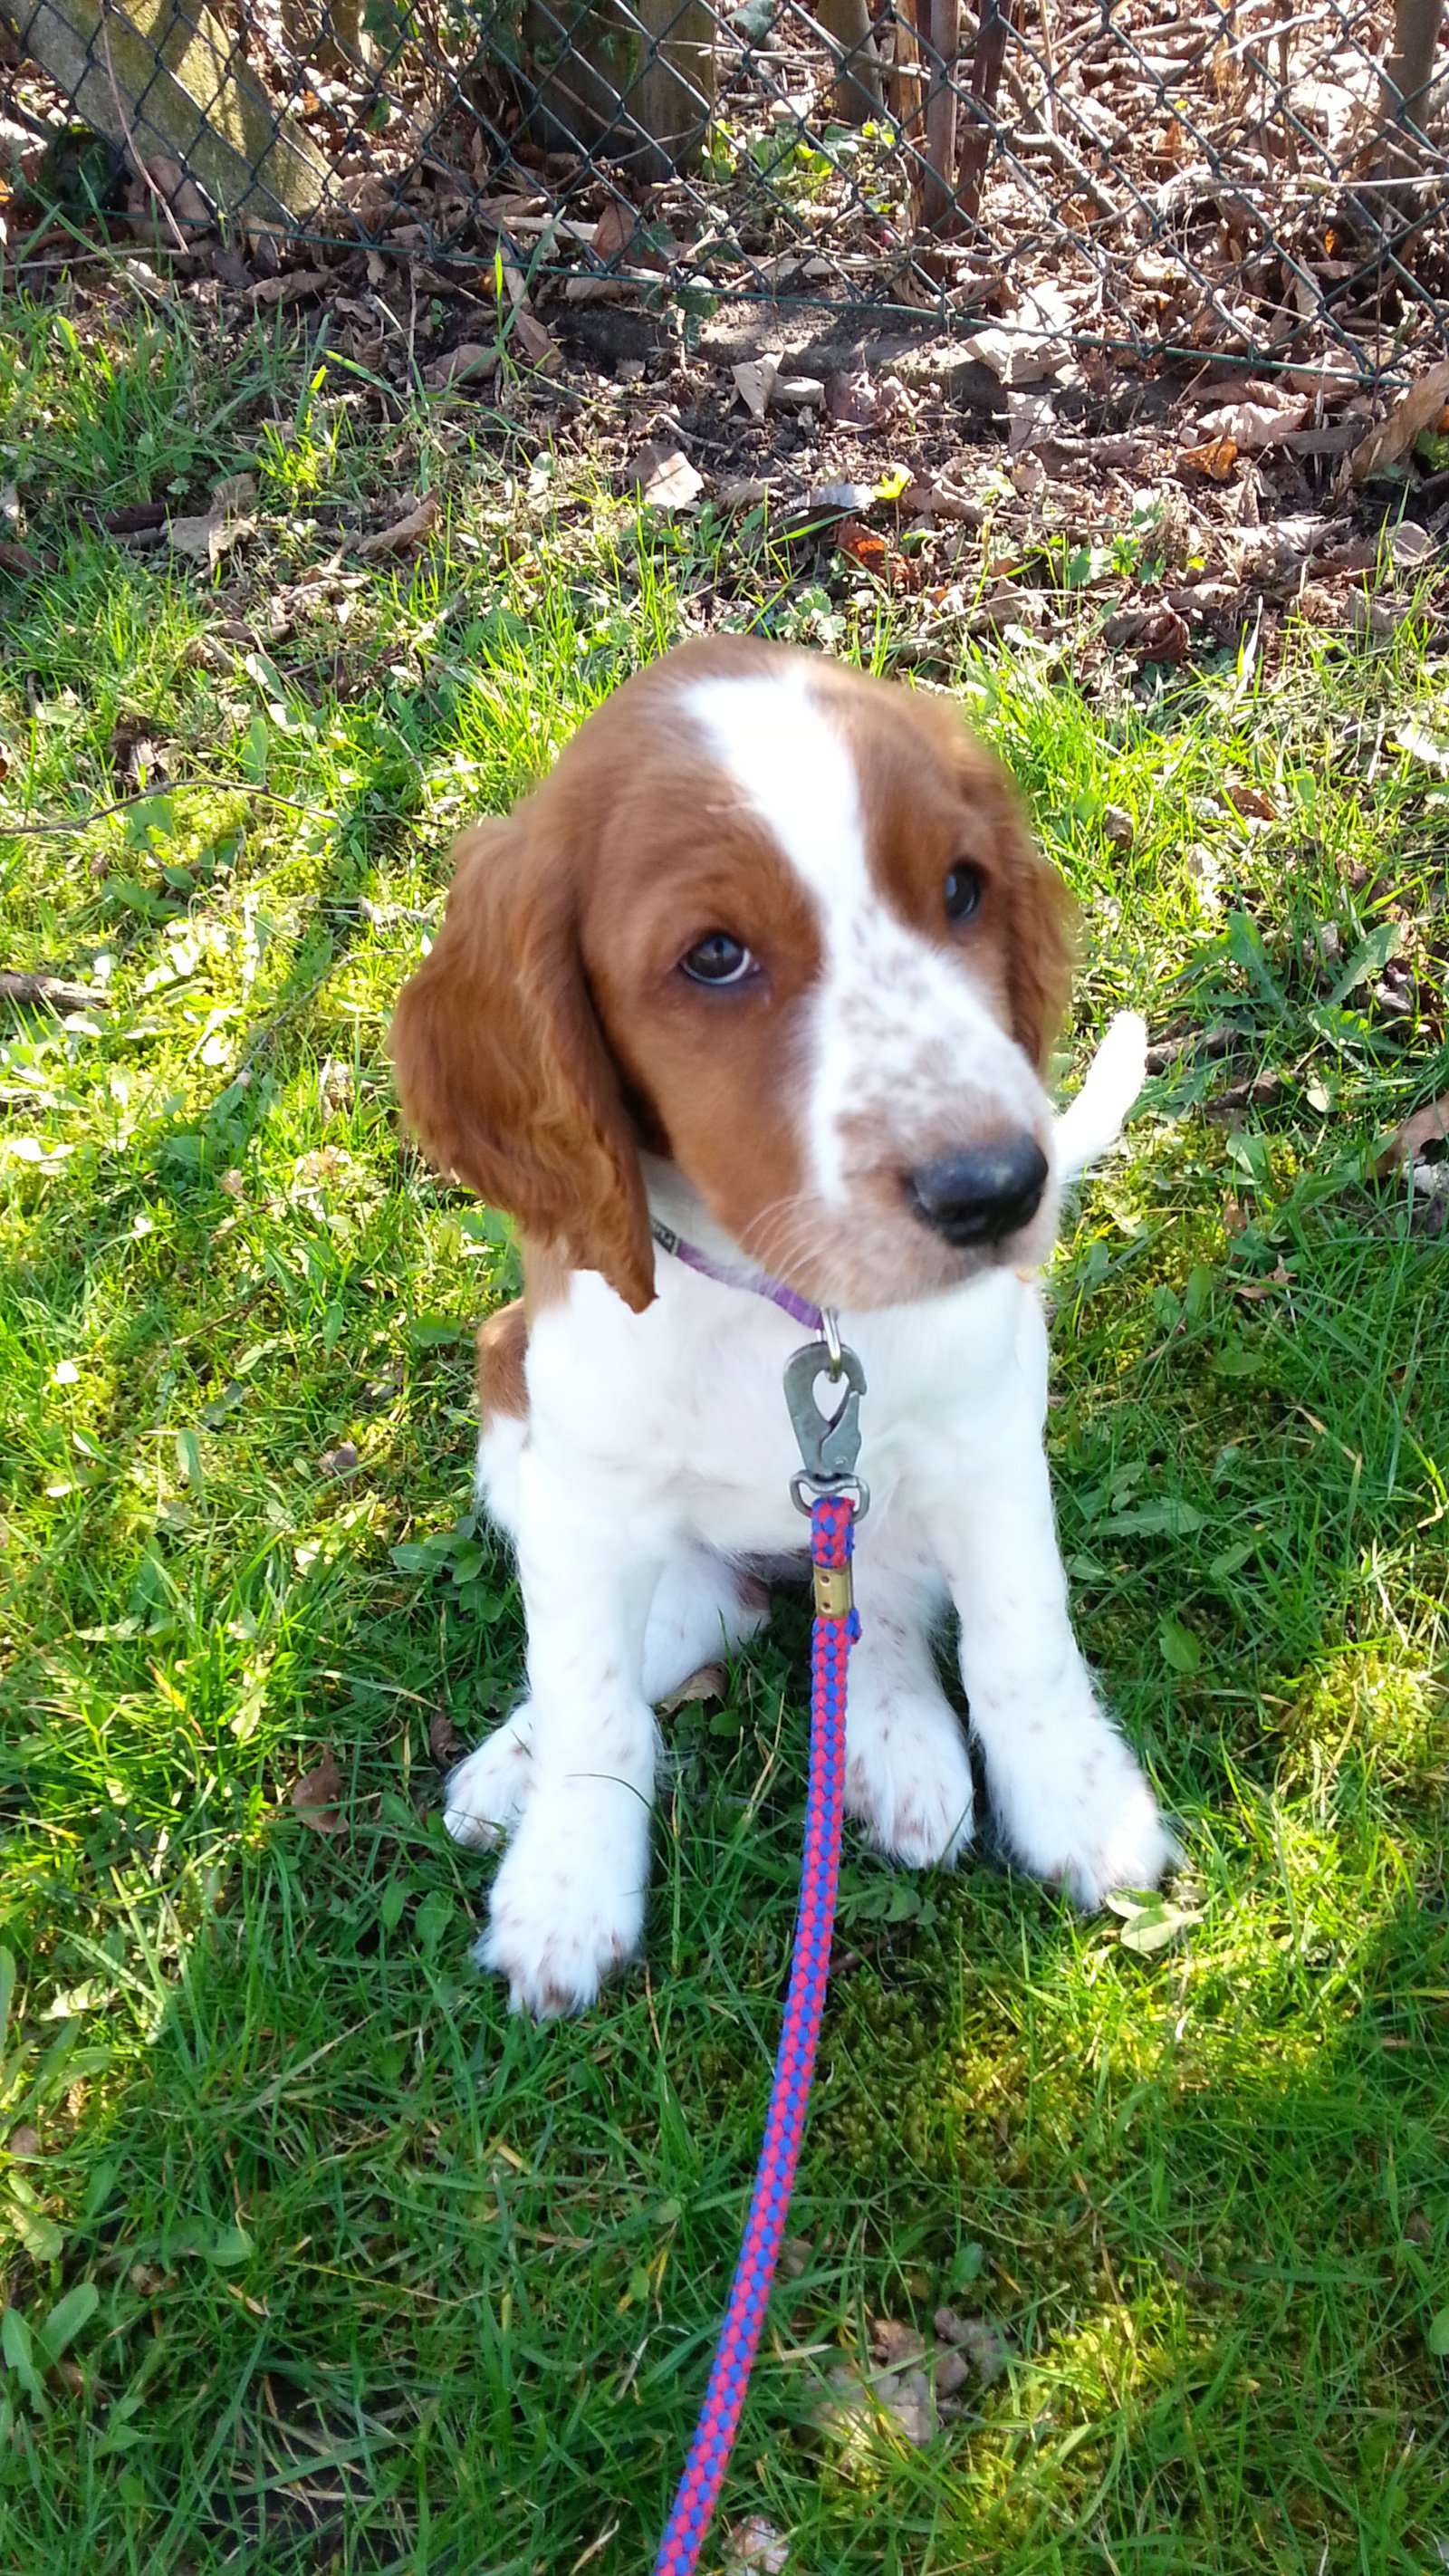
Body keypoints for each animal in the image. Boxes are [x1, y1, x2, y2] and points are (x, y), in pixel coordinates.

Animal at [390, 637, 1173, 2016]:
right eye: (714, 957)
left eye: (961, 888)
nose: (998, 1189)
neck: (790, 1306)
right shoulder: (583, 1490)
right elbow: (589, 1689)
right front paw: (565, 1888)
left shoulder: (988, 1442)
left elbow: (1022, 1638)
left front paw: (1081, 1809)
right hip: (509, 1397)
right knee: (692, 1621)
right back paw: (509, 1767)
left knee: (873, 1614)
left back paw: (896, 1749)